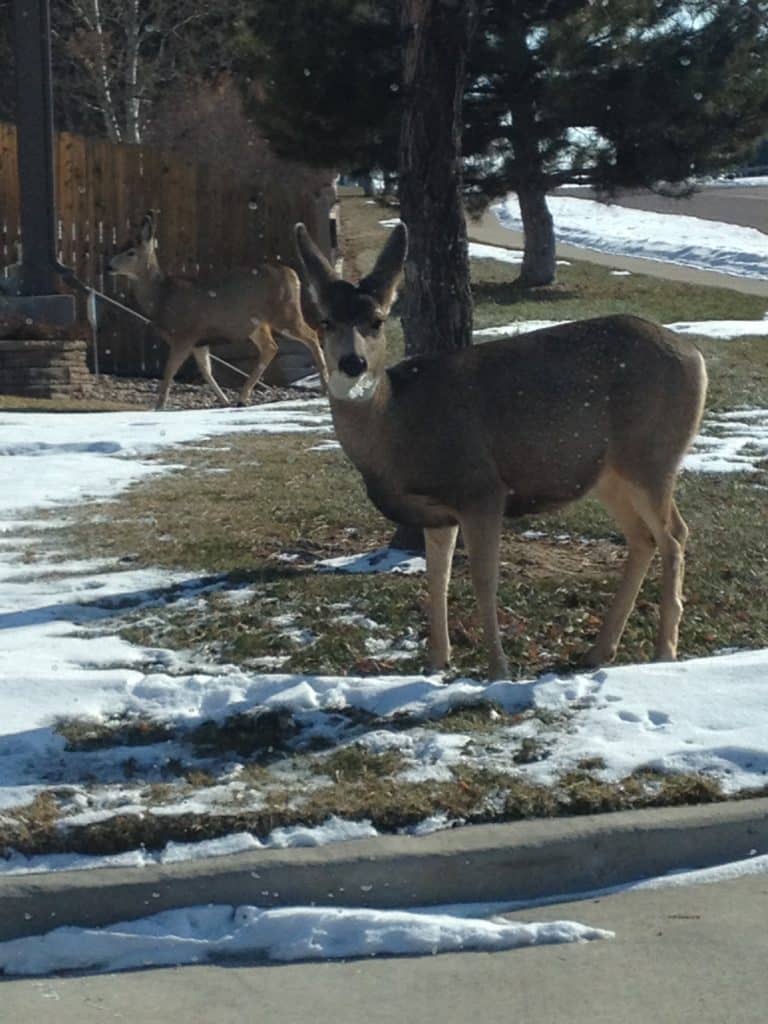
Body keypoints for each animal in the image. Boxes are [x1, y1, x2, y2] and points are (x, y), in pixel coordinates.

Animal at [108, 209, 327, 409]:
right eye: (120, 246)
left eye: (131, 252)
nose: (109, 266)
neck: (162, 297)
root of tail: (293, 274)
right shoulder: (199, 341)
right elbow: (206, 371)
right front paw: (224, 400)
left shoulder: (184, 334)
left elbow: (170, 370)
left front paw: (159, 406)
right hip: (256, 324)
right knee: (271, 347)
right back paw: (241, 398)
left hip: (284, 312)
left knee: (311, 335)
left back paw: (324, 386)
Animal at [294, 220, 708, 679]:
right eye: (325, 321)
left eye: (377, 320)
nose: (353, 363)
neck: (396, 430)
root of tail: (697, 356)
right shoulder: (436, 511)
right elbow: (436, 578)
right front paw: (436, 662)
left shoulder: (481, 488)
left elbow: (483, 578)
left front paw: (498, 669)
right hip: (609, 473)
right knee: (643, 537)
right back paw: (600, 651)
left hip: (651, 455)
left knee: (675, 534)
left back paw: (664, 651)